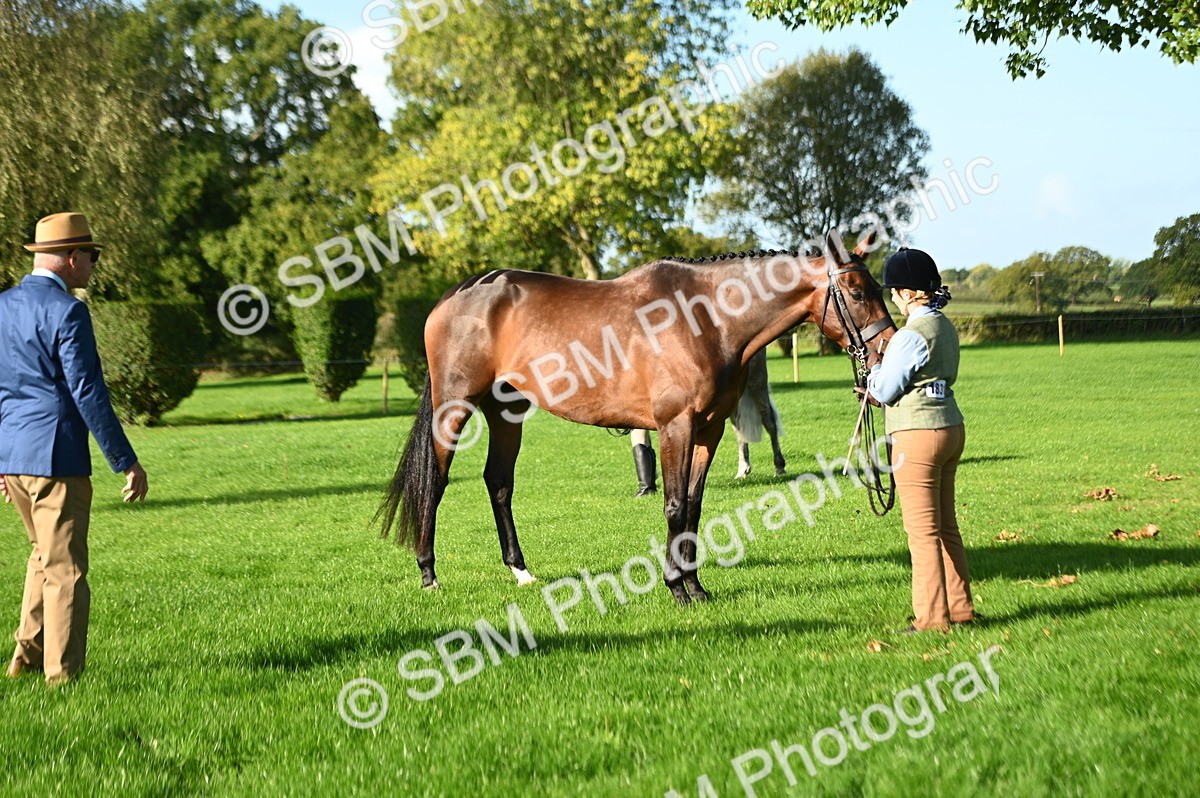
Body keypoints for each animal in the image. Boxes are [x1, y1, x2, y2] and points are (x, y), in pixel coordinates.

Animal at [378, 230, 896, 604]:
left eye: (876, 287)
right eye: (855, 291)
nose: (887, 348)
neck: (707, 317)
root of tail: (456, 295)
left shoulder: (708, 429)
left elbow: (694, 505)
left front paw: (696, 586)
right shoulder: (675, 426)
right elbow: (673, 504)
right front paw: (676, 588)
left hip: (507, 410)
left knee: (499, 482)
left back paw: (521, 571)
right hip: (455, 407)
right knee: (436, 480)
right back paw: (429, 574)